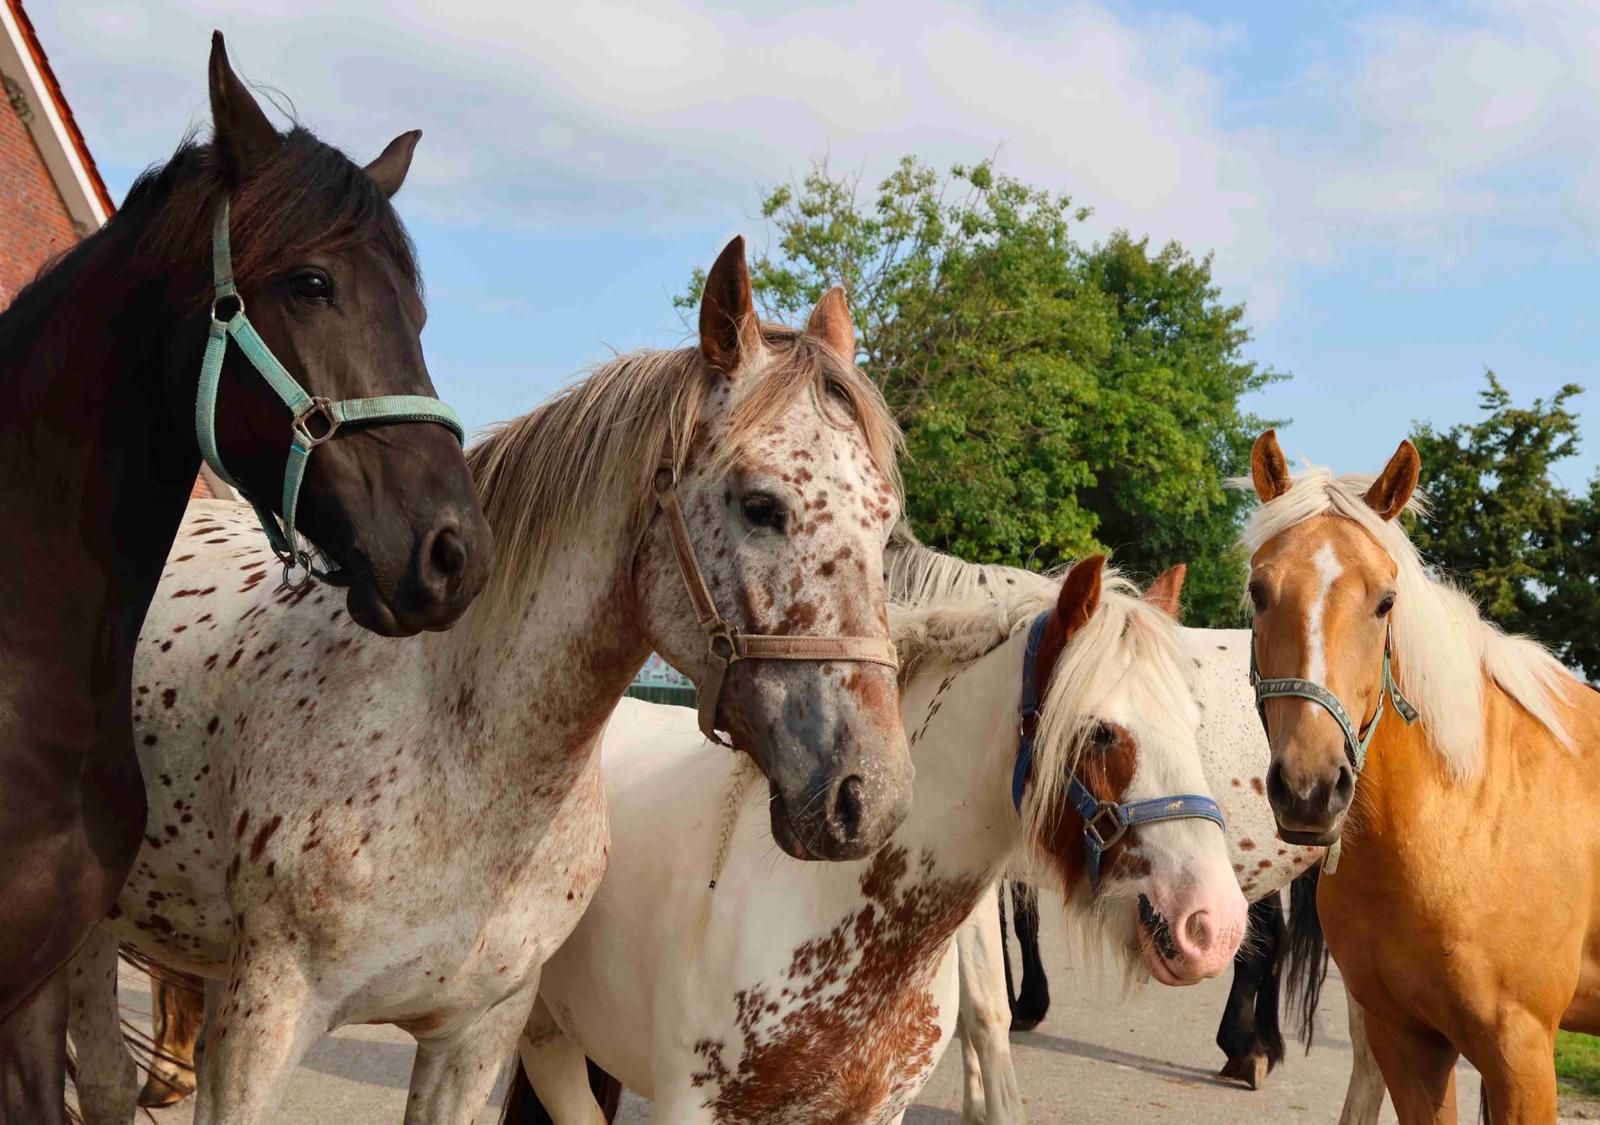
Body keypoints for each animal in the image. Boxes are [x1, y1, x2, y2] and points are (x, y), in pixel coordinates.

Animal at [62, 246, 914, 1125]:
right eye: (760, 505)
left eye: (887, 525)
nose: (868, 796)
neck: (460, 758)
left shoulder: (475, 1035)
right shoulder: (258, 1029)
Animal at [1243, 429, 1600, 1123]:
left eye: (1386, 601)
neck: (1472, 816)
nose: (1309, 789)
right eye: (1259, 592)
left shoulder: (1522, 1055)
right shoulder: (1405, 1039)